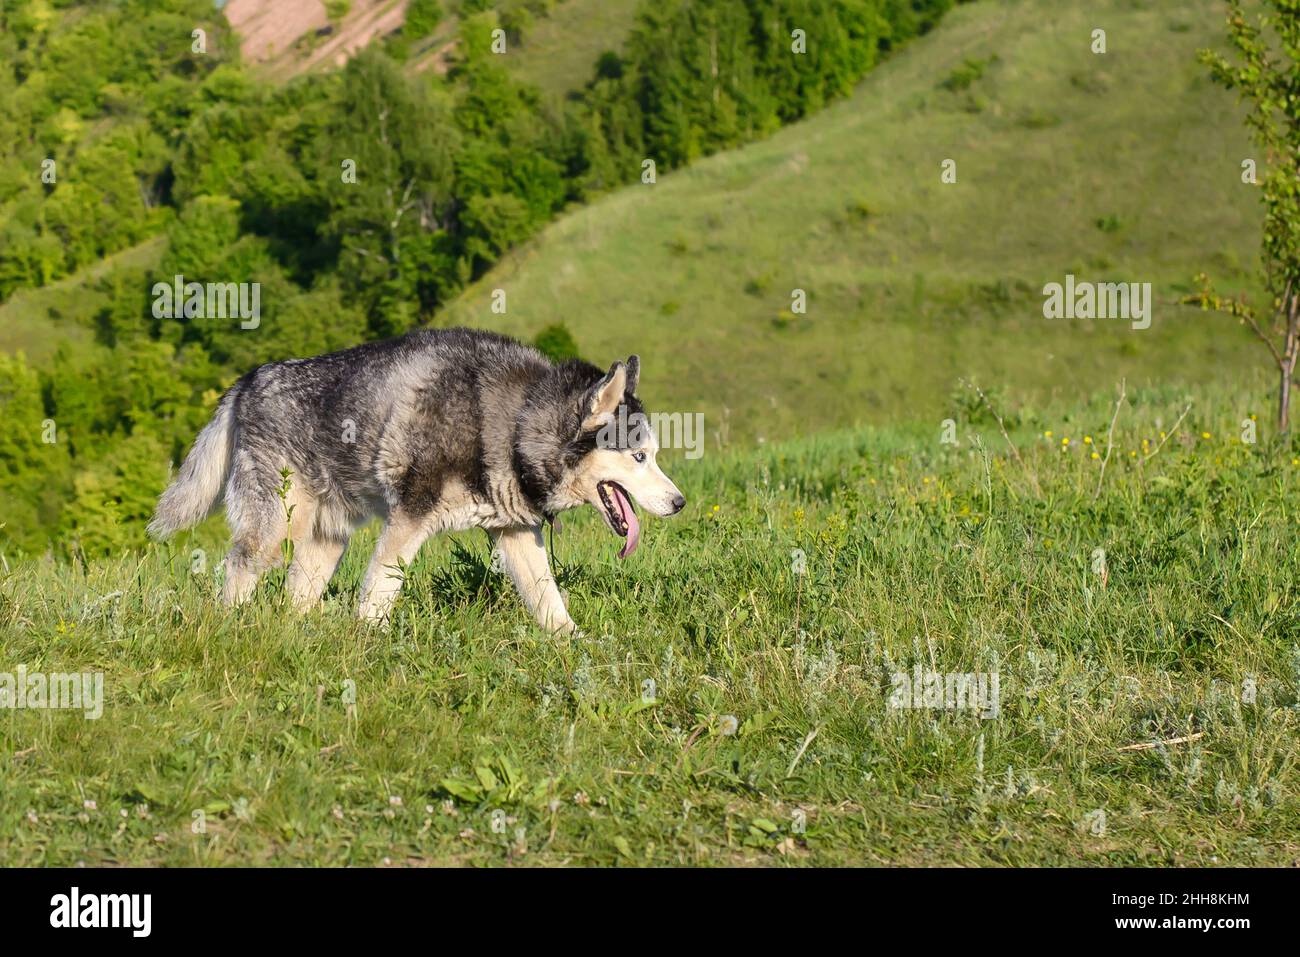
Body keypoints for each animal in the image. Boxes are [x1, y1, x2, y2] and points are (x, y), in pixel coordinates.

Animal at [147, 325, 686, 631]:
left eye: (655, 455)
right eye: (639, 457)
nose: (680, 502)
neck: (513, 422)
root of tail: (247, 380)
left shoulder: (514, 532)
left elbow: (550, 601)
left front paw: (576, 652)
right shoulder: (406, 521)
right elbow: (376, 597)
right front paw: (364, 647)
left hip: (326, 540)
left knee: (294, 601)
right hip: (275, 531)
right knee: (238, 570)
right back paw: (233, 629)